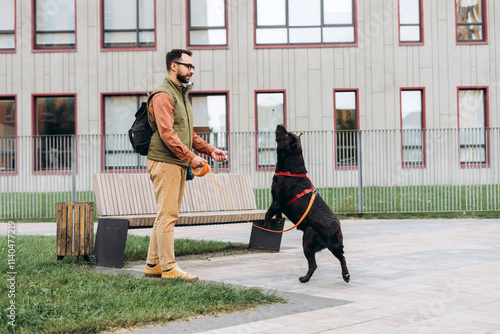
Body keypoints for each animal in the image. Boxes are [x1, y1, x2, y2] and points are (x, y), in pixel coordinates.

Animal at [264, 124, 350, 284]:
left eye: (286, 135)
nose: (280, 125)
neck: (290, 170)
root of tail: (333, 225)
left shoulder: (277, 201)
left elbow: (268, 213)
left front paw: (266, 226)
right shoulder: (279, 203)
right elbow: (277, 213)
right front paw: (278, 220)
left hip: (307, 242)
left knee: (313, 264)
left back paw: (304, 279)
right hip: (335, 245)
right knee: (342, 257)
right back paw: (345, 275)